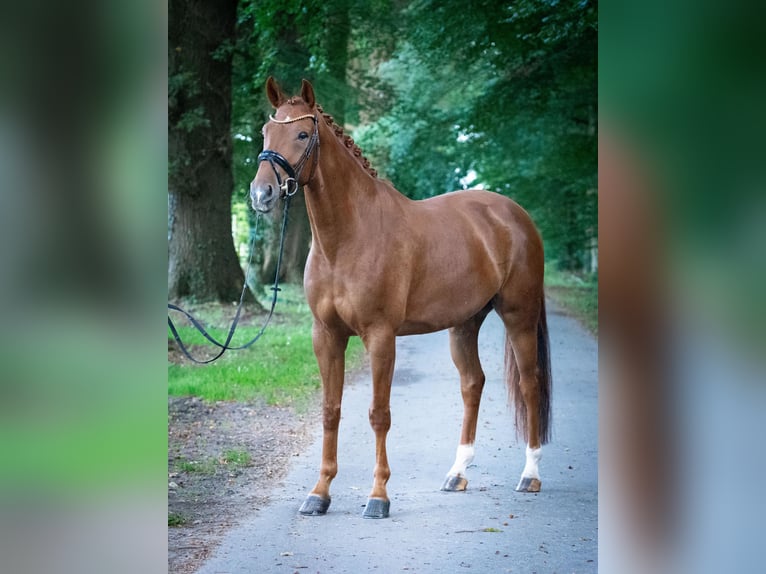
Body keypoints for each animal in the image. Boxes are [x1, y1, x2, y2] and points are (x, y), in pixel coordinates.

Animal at [252, 77, 552, 520]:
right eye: (265, 133)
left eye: (303, 134)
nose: (262, 194)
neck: (348, 239)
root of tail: (515, 215)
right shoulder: (326, 335)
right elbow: (330, 411)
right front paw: (319, 493)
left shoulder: (380, 336)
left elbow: (379, 415)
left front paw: (378, 497)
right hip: (465, 323)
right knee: (472, 383)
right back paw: (457, 474)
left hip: (519, 315)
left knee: (530, 384)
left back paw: (530, 474)